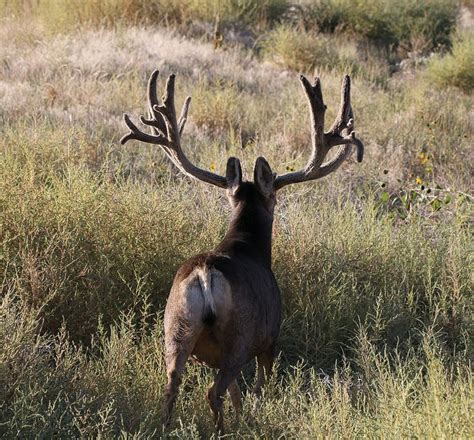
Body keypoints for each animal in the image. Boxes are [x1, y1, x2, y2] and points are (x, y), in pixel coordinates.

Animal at [120, 70, 364, 432]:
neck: (248, 245)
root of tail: (205, 274)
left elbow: (237, 394)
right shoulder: (270, 337)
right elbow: (260, 388)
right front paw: (255, 415)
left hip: (175, 328)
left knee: (172, 387)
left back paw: (166, 427)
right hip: (240, 336)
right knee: (214, 391)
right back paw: (221, 431)